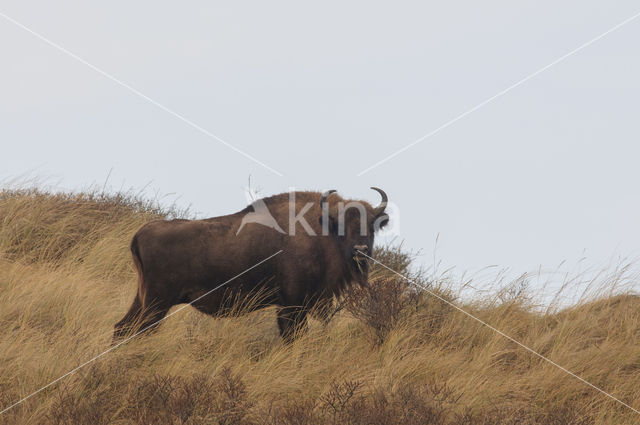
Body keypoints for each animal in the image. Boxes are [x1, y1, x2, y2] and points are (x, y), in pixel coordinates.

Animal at [112, 187, 388, 340]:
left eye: (372, 225)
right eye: (341, 225)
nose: (361, 251)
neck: (320, 228)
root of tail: (140, 233)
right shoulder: (292, 304)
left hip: (144, 300)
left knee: (122, 328)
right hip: (156, 303)